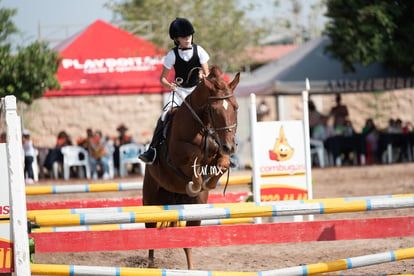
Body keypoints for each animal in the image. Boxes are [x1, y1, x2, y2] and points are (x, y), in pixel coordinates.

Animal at [142, 66, 239, 268]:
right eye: (214, 110)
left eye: (236, 107)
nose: (230, 147)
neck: (203, 126)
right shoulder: (177, 151)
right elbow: (195, 155)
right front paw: (195, 184)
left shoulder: (219, 150)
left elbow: (223, 162)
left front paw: (208, 183)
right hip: (150, 199)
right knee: (150, 232)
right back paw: (151, 265)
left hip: (194, 207)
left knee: (189, 240)